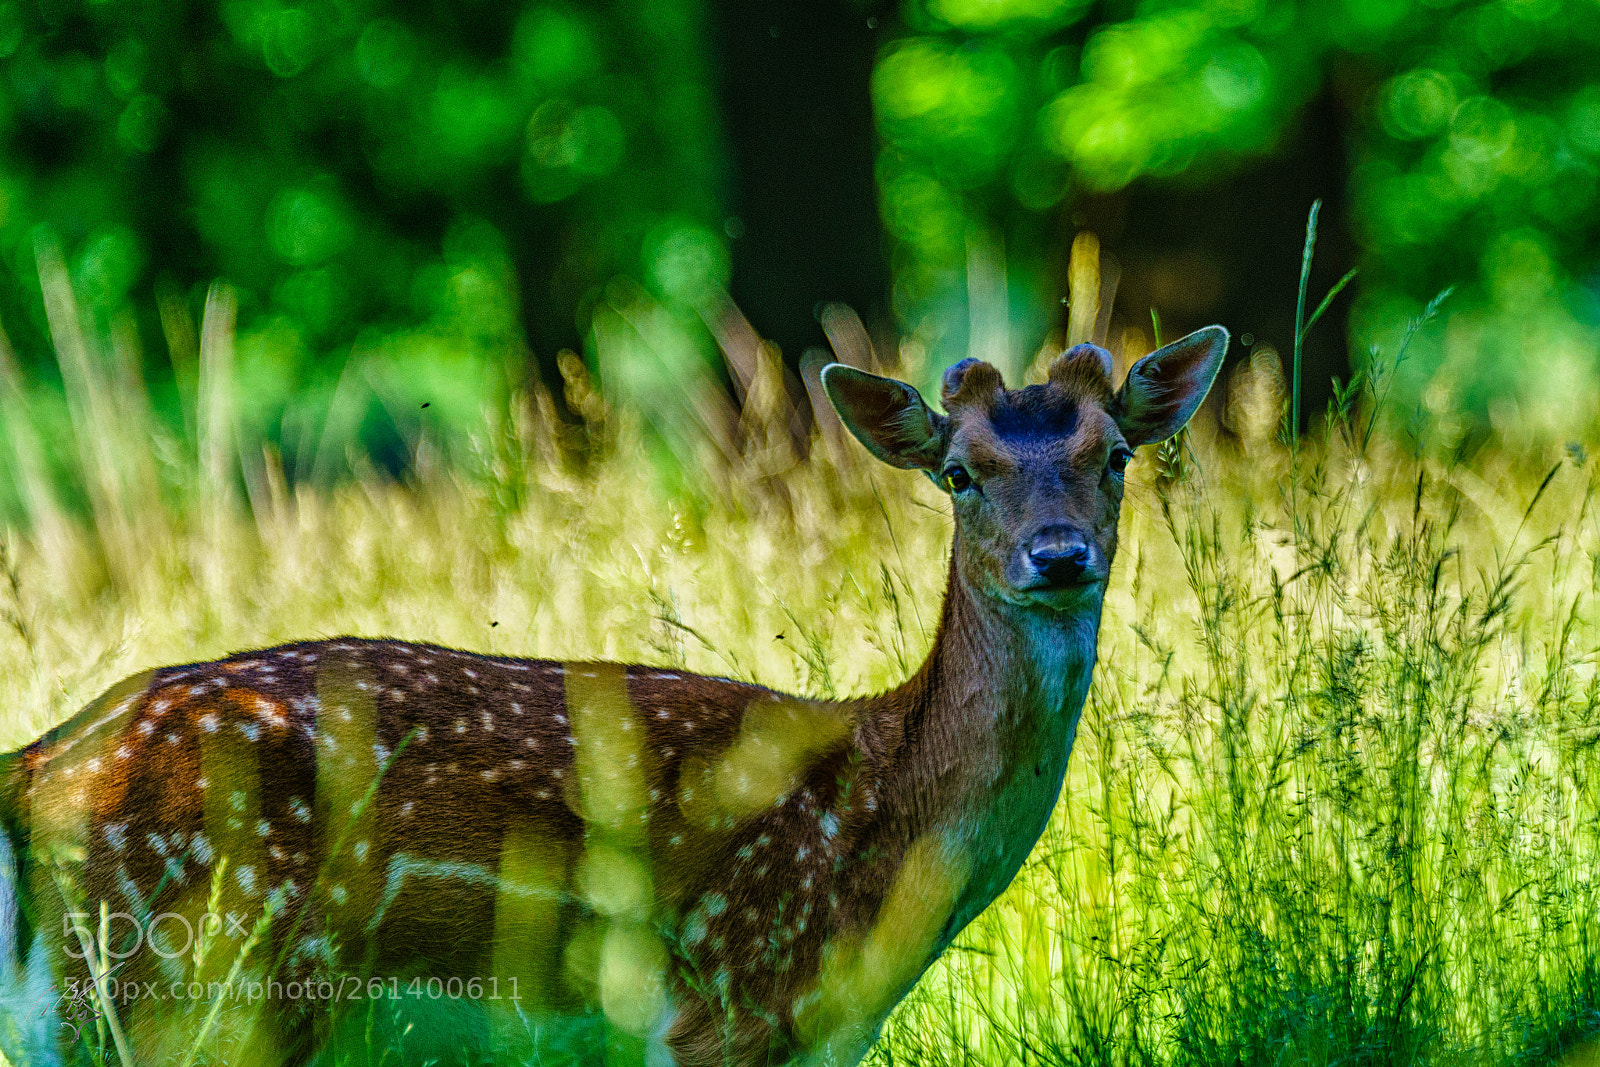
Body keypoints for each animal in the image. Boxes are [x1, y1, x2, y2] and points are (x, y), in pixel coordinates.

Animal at [0, 326, 1226, 1067]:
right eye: (961, 471)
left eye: (1116, 455)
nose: (1058, 554)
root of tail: (41, 768)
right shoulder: (726, 1003)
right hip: (172, 981)